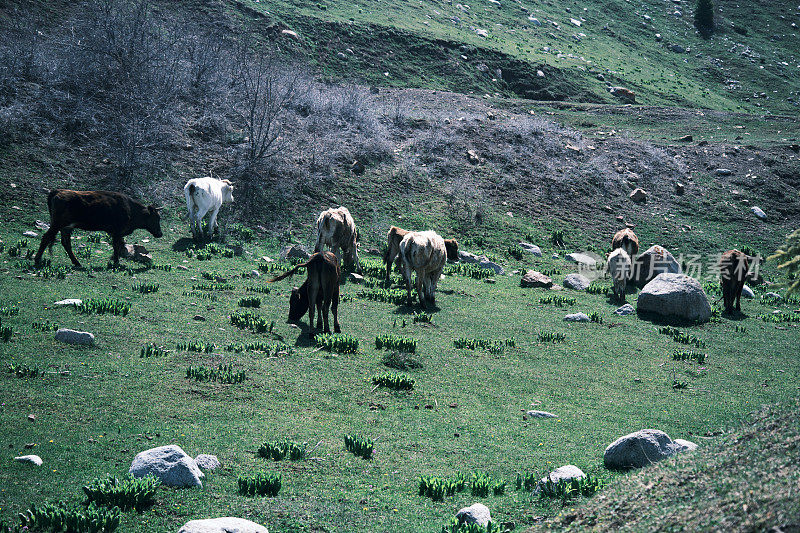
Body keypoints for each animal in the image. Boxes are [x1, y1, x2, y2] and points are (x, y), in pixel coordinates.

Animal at [35, 189, 163, 268]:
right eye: (156, 218)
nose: (160, 233)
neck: (131, 209)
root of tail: (57, 191)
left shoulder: (116, 233)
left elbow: (120, 245)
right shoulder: (117, 232)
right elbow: (117, 246)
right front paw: (116, 262)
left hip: (66, 227)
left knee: (66, 243)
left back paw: (77, 263)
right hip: (57, 224)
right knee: (46, 238)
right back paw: (37, 259)